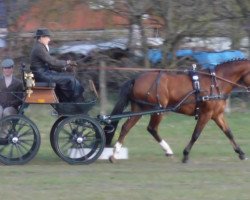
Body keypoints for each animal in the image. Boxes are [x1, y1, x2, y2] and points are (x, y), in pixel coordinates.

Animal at [104, 59, 250, 162]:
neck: (216, 83)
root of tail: (136, 79)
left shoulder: (217, 115)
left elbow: (228, 133)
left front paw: (241, 153)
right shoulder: (206, 114)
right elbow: (196, 134)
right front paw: (185, 155)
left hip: (139, 109)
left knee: (126, 127)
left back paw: (115, 154)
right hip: (158, 110)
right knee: (151, 128)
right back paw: (167, 150)